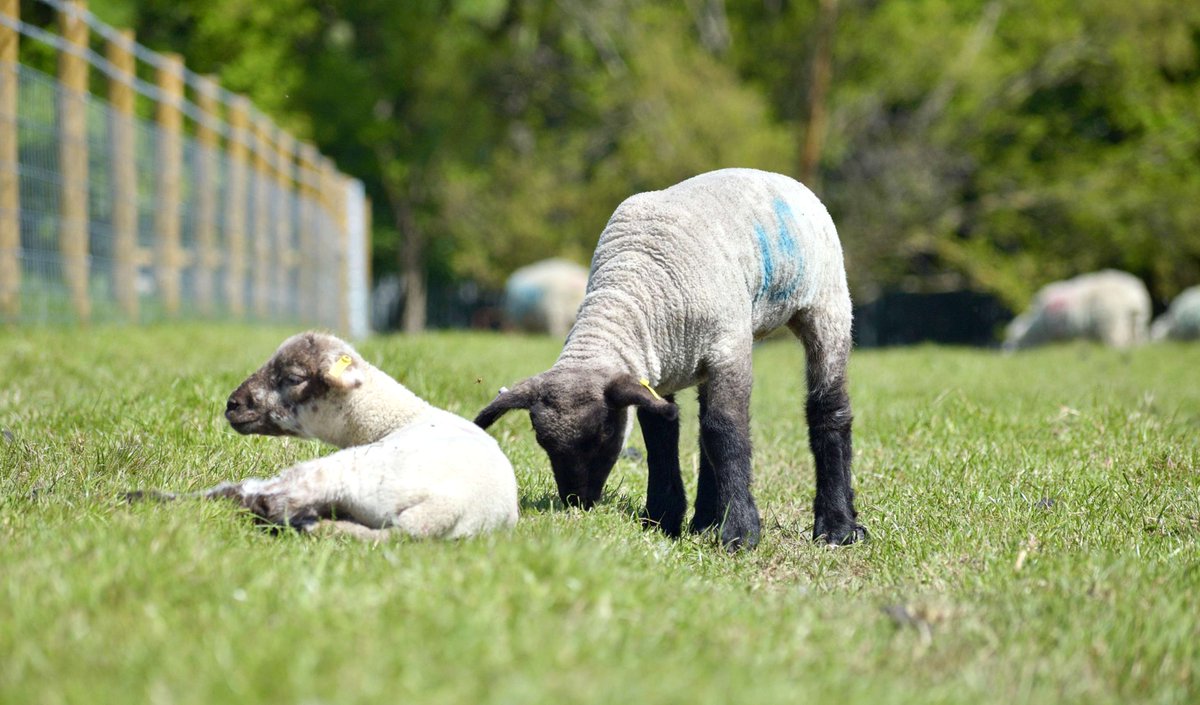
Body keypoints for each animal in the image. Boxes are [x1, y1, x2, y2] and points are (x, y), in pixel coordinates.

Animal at [130, 330, 516, 539]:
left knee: (260, 498)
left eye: (293, 377)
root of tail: (440, 513)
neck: (399, 417)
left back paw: (142, 497)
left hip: (348, 472)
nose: (232, 404)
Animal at [470, 169, 864, 551]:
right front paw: (662, 518)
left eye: (604, 433)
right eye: (542, 441)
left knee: (828, 408)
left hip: (826, 304)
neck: (631, 288)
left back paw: (837, 527)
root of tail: (783, 178)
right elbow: (661, 435)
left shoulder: (729, 351)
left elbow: (726, 432)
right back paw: (706, 520)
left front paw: (740, 533)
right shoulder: (655, 372)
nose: (577, 501)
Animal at [1003, 267, 1152, 350]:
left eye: (1014, 341)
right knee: (1139, 341)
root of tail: (1134, 296)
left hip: (1112, 324)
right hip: (1136, 324)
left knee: (1119, 343)